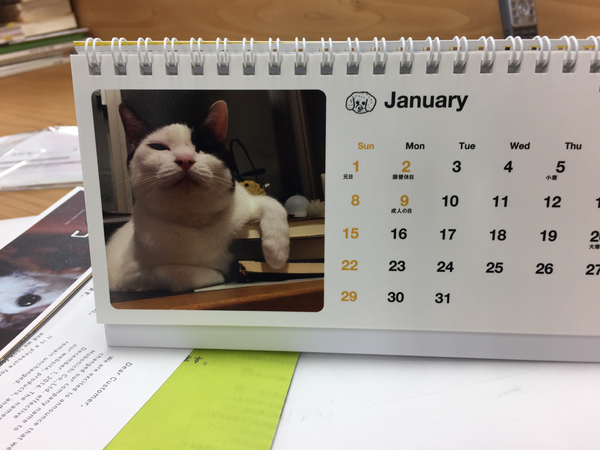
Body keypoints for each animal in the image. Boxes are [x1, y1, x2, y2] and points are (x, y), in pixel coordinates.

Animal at [105, 100, 290, 292]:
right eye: (158, 147)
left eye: (203, 147)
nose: (185, 159)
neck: (196, 220)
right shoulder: (132, 276)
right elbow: (184, 273)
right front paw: (225, 271)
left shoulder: (246, 203)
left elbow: (274, 205)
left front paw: (276, 253)